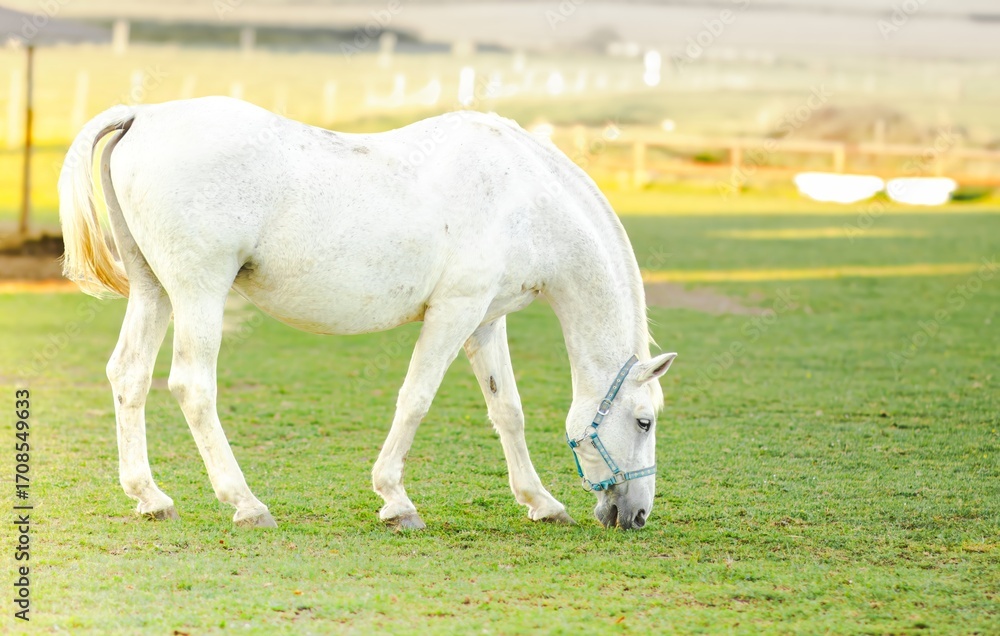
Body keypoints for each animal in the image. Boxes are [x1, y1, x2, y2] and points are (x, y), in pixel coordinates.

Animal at [59, 96, 677, 530]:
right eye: (644, 421)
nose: (638, 514)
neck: (523, 198)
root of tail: (144, 115)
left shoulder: (484, 319)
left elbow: (507, 411)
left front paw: (541, 502)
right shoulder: (453, 313)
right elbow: (416, 399)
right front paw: (395, 500)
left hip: (153, 291)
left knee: (129, 376)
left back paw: (150, 498)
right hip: (199, 292)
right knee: (191, 386)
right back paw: (246, 503)